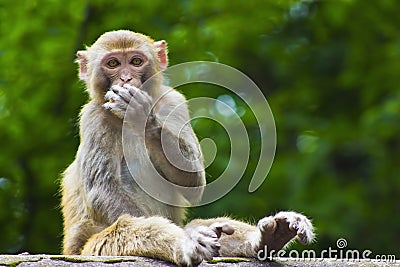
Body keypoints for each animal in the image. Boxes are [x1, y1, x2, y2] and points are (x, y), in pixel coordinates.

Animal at [61, 30, 314, 266]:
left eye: (136, 61)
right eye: (113, 63)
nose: (125, 78)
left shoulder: (173, 101)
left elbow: (193, 181)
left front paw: (141, 114)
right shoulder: (93, 117)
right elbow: (102, 189)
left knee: (202, 224)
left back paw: (269, 237)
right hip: (91, 248)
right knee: (127, 227)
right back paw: (188, 242)